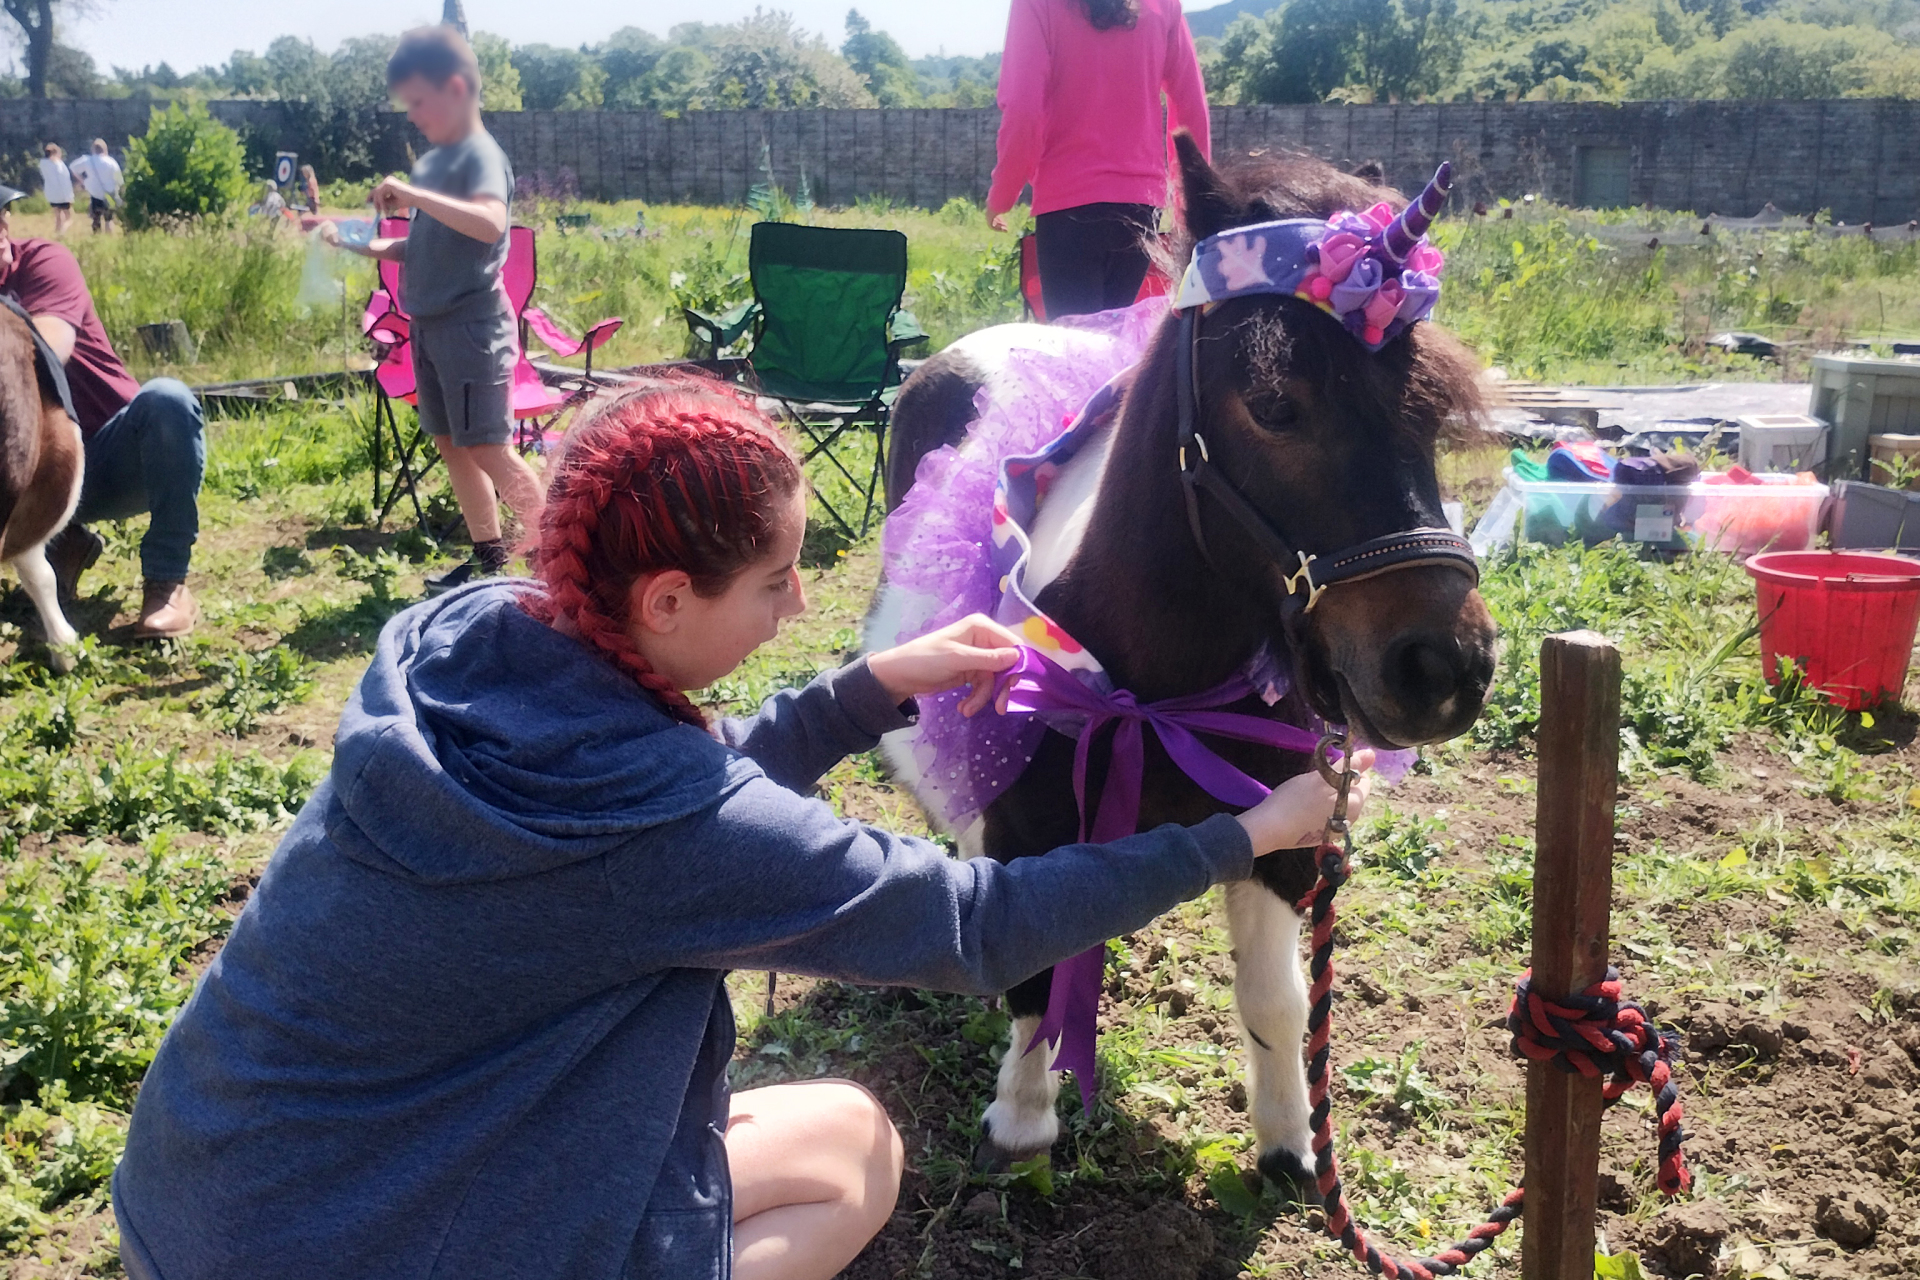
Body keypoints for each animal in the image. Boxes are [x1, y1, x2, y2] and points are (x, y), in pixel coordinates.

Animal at [879, 138, 1489, 1182]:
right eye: (1275, 404)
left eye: (1435, 410)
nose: (1445, 671)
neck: (1157, 686)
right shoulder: (1032, 824)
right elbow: (1031, 965)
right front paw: (1022, 1122)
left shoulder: (1286, 839)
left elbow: (1278, 999)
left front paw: (1291, 1144)